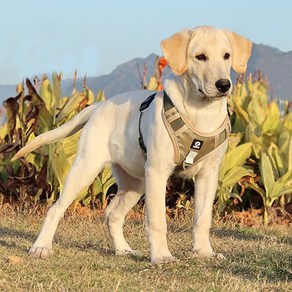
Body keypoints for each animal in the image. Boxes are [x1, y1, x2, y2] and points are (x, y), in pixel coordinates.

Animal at [12, 26, 252, 264]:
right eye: (200, 57)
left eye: (227, 56)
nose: (224, 85)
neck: (201, 113)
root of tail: (99, 105)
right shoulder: (157, 172)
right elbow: (157, 220)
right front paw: (162, 256)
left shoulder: (208, 174)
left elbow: (202, 219)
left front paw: (204, 252)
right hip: (85, 169)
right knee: (56, 208)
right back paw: (41, 246)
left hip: (135, 183)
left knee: (112, 214)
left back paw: (123, 249)